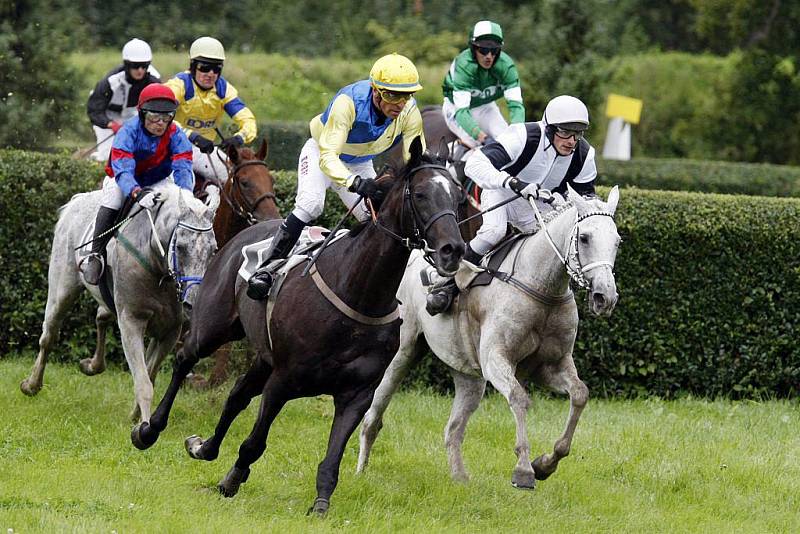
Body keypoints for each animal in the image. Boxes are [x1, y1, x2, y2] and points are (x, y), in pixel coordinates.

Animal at [21, 183, 219, 422]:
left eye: (213, 249)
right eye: (180, 247)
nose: (193, 301)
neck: (158, 266)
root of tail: (76, 201)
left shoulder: (170, 331)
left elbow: (149, 373)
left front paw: (137, 417)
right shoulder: (131, 321)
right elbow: (143, 382)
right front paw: (144, 425)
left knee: (101, 317)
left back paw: (92, 365)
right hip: (62, 290)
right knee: (48, 337)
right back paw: (32, 385)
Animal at [133, 138, 462, 520]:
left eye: (456, 195)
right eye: (421, 194)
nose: (453, 249)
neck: (358, 291)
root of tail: (241, 233)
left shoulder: (357, 394)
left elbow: (332, 458)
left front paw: (320, 505)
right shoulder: (284, 380)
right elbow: (255, 443)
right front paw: (233, 479)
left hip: (263, 356)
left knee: (236, 395)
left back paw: (204, 447)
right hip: (213, 328)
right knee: (185, 359)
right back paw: (149, 430)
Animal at [360, 186, 620, 492]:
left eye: (617, 241)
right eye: (585, 237)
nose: (605, 297)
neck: (542, 286)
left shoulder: (552, 366)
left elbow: (580, 394)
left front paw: (545, 464)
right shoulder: (496, 360)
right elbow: (519, 398)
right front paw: (524, 470)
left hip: (467, 373)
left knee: (453, 429)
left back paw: (460, 479)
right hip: (403, 353)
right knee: (374, 414)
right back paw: (360, 470)